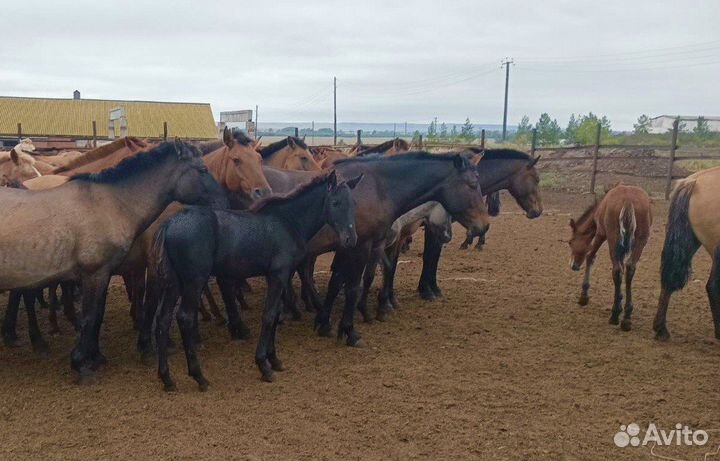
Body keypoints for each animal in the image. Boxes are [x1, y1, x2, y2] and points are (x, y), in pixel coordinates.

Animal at [0, 140, 227, 380]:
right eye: (203, 169)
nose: (224, 200)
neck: (110, 204)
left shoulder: (105, 273)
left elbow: (97, 315)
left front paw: (95, 356)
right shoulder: (95, 273)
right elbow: (90, 316)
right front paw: (80, 362)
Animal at [145, 171, 363, 390]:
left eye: (352, 203)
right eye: (335, 203)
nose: (351, 239)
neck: (288, 222)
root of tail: (169, 224)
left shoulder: (281, 276)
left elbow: (276, 314)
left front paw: (274, 360)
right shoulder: (278, 274)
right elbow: (268, 316)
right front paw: (264, 366)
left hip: (174, 283)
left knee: (163, 320)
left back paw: (167, 378)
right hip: (194, 281)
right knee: (185, 318)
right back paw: (199, 376)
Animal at [298, 152, 491, 346]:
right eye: (473, 184)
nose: (484, 225)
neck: (377, 190)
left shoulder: (362, 246)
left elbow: (340, 281)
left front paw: (325, 323)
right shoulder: (360, 246)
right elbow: (353, 286)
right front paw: (350, 330)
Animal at [416, 149, 543, 301]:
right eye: (537, 179)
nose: (538, 211)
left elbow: (434, 258)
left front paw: (433, 288)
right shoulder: (432, 229)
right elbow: (429, 257)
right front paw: (425, 290)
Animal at [568, 185, 652, 331]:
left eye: (570, 242)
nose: (573, 265)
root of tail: (628, 200)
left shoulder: (601, 233)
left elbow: (590, 256)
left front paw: (584, 296)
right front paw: (620, 298)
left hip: (612, 238)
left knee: (616, 270)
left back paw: (614, 315)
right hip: (640, 240)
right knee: (629, 268)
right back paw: (626, 317)